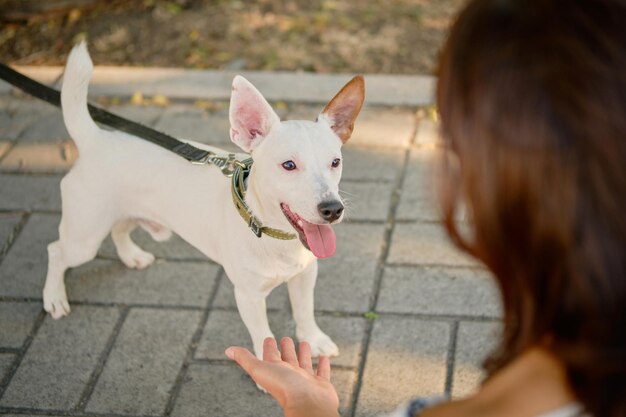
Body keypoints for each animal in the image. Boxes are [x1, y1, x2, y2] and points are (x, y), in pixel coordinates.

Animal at [42, 43, 366, 358]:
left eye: (335, 162)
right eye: (288, 165)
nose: (332, 209)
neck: (274, 235)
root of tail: (97, 138)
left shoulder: (305, 275)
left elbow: (304, 312)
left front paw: (314, 340)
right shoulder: (248, 296)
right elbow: (264, 338)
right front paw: (270, 368)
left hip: (125, 212)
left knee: (119, 229)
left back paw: (131, 255)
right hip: (84, 237)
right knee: (56, 251)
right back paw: (54, 297)